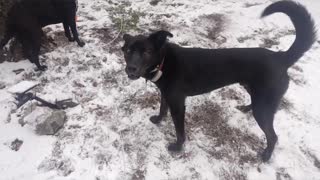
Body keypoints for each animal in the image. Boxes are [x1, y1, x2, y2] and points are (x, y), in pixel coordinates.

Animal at [121, 0, 316, 162]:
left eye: (146, 52)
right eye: (128, 50)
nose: (131, 68)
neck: (164, 61)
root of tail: (281, 57)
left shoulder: (178, 104)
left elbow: (179, 131)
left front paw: (177, 147)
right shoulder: (166, 95)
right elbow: (162, 108)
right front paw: (158, 119)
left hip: (263, 106)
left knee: (273, 135)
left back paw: (267, 156)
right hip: (253, 91)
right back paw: (246, 108)